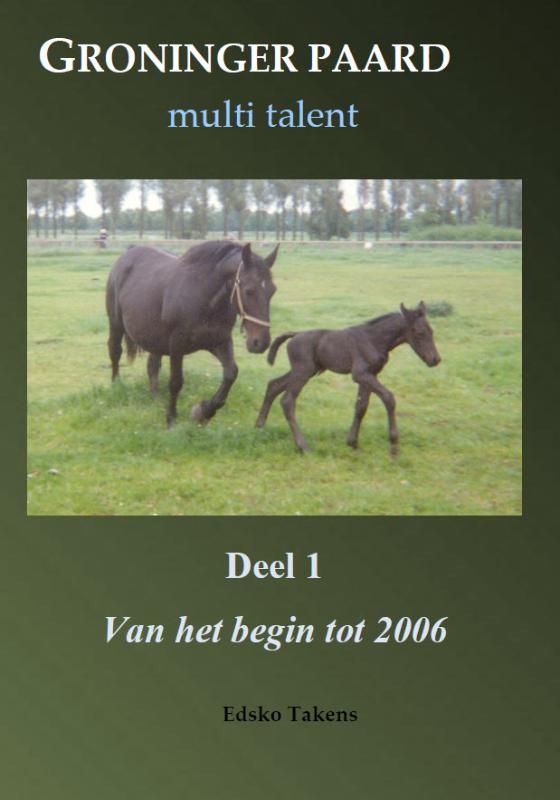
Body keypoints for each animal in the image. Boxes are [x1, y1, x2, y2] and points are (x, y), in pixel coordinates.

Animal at [106, 240, 279, 426]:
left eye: (272, 290)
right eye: (249, 290)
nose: (260, 342)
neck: (203, 298)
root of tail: (128, 252)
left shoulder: (220, 341)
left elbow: (231, 374)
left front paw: (204, 411)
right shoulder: (177, 345)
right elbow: (176, 382)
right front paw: (171, 419)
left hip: (155, 338)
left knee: (152, 365)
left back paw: (156, 397)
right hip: (116, 324)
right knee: (115, 352)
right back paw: (116, 386)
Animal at [256, 302, 441, 455]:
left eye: (432, 331)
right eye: (420, 333)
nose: (435, 360)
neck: (374, 340)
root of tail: (294, 335)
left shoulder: (369, 375)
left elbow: (361, 407)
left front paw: (352, 442)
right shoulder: (360, 374)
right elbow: (389, 398)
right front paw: (394, 445)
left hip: (306, 370)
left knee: (273, 384)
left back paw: (259, 424)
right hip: (303, 371)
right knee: (287, 400)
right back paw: (303, 446)